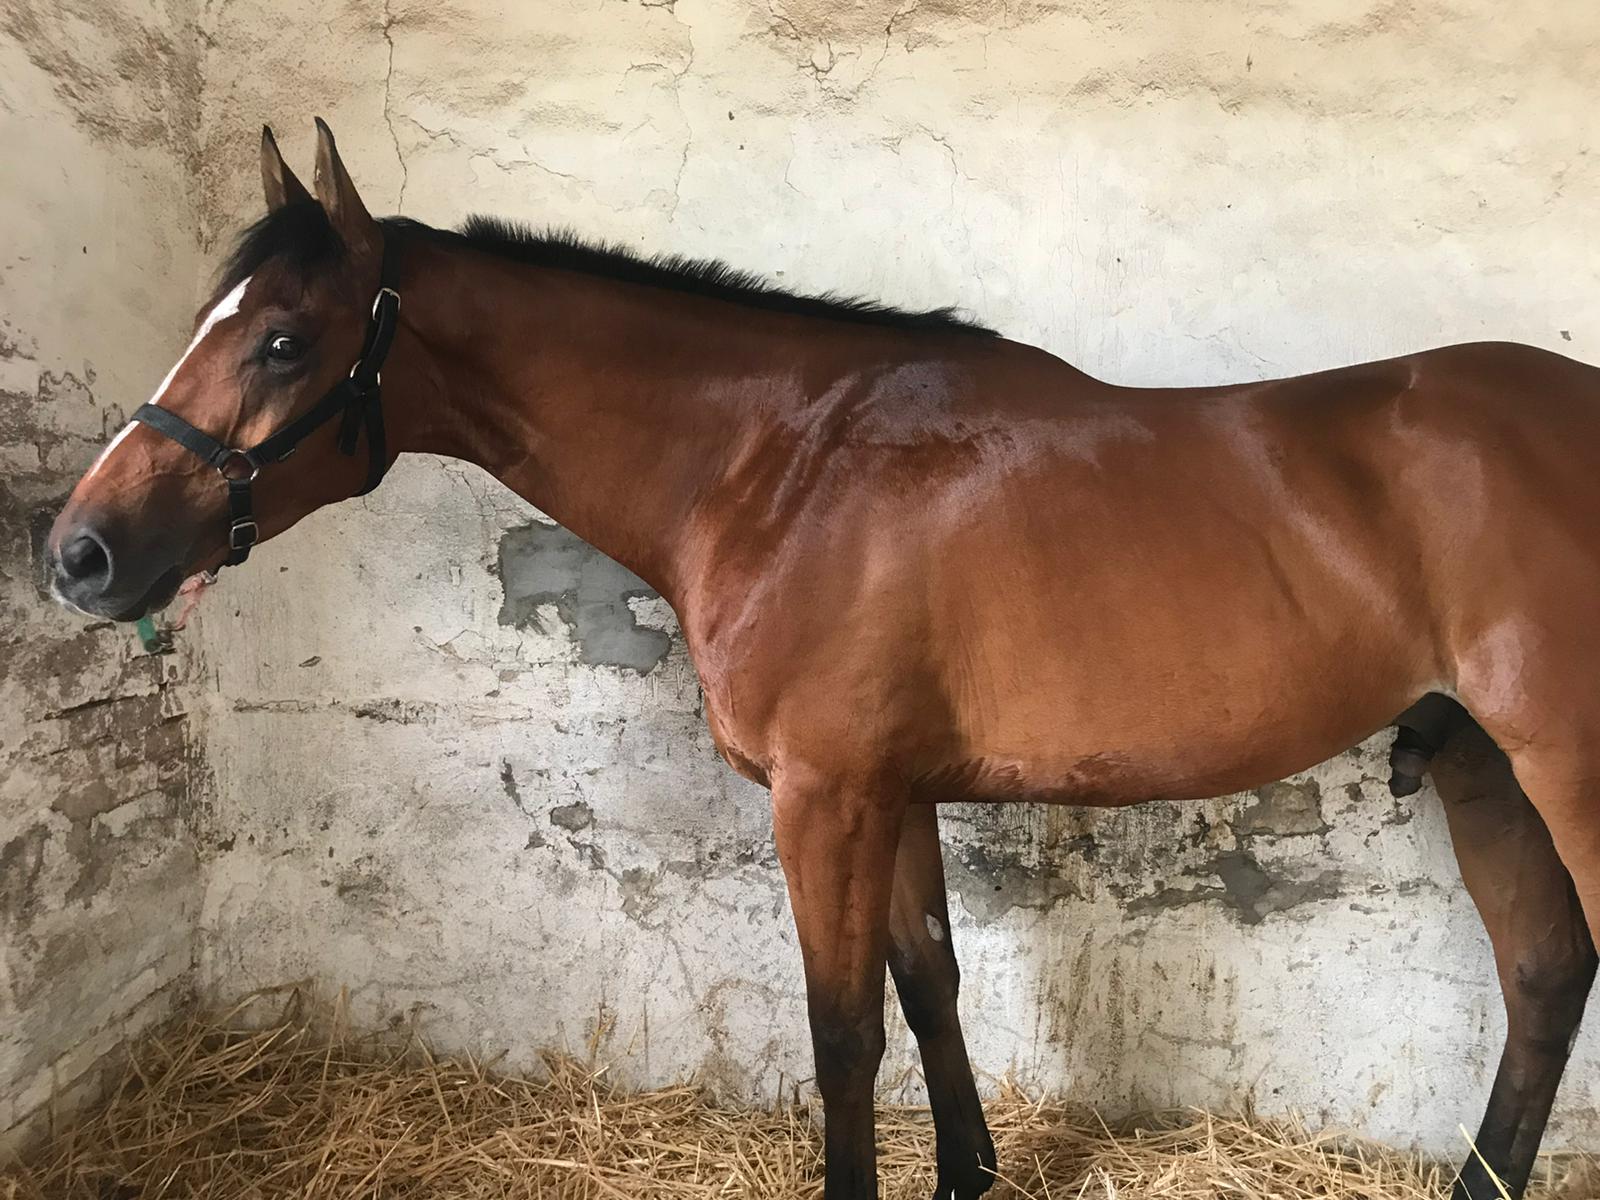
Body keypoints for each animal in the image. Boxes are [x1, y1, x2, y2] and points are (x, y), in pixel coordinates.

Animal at [47, 120, 1597, 1200]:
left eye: (282, 340)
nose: (79, 554)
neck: (780, 464)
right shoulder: (891, 792)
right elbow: (930, 985)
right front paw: (969, 1173)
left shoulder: (826, 796)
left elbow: (843, 1029)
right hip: (1484, 769)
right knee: (1542, 974)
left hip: (1561, 767)